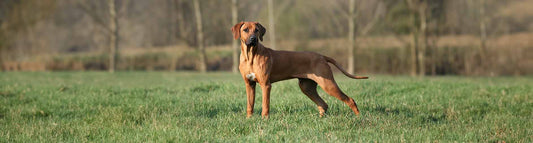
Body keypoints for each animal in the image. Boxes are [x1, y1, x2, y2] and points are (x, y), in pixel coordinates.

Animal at [231, 21, 368, 117]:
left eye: (257, 30)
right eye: (245, 30)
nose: (253, 39)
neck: (250, 56)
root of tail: (322, 56)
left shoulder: (266, 85)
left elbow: (265, 105)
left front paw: (264, 120)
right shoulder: (249, 84)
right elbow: (250, 105)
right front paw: (249, 119)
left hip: (328, 84)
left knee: (349, 100)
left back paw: (359, 117)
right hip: (307, 87)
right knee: (323, 104)